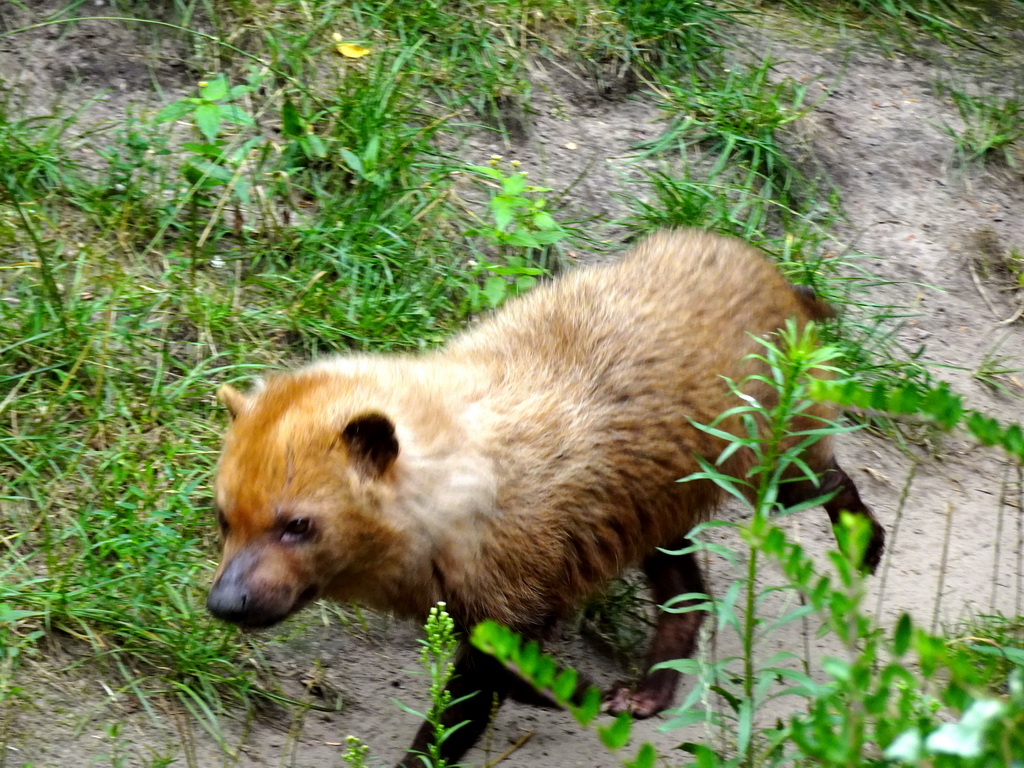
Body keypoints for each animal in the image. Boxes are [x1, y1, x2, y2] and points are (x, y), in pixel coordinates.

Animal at [205, 227, 880, 765]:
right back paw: (648, 690)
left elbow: (459, 717)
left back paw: (865, 545)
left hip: (765, 460)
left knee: (827, 477)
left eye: (297, 523)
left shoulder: (517, 591)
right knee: (685, 591)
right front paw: (580, 689)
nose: (226, 602)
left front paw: (569, 690)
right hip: (661, 502)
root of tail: (778, 277)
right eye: (223, 516)